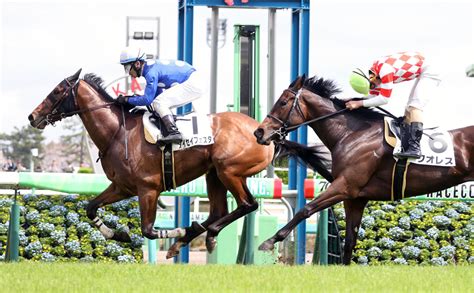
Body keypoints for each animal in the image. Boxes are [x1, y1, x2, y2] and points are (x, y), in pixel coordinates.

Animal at [28, 68, 330, 258]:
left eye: (56, 91)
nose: (32, 116)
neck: (117, 132)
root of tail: (266, 133)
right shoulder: (122, 187)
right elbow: (91, 208)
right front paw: (118, 235)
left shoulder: (148, 189)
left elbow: (149, 231)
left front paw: (175, 231)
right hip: (214, 175)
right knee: (218, 211)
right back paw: (194, 235)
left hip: (229, 171)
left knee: (247, 205)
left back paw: (202, 234)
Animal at [254, 74, 474, 264]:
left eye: (283, 102)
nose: (259, 132)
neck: (352, 134)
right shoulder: (355, 198)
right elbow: (350, 242)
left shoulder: (345, 186)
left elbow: (305, 210)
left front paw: (269, 242)